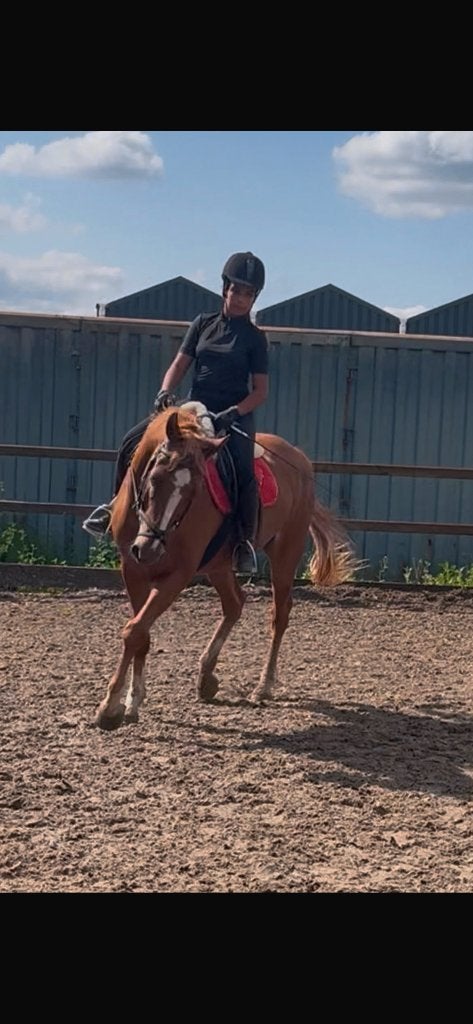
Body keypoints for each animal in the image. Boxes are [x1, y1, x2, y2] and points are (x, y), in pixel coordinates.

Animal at [95, 405, 356, 729]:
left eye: (194, 489)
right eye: (154, 476)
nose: (149, 548)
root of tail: (299, 459)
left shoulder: (178, 575)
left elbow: (134, 630)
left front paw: (109, 708)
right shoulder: (132, 568)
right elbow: (140, 633)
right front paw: (131, 701)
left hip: (285, 553)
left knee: (279, 615)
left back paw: (263, 686)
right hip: (218, 565)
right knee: (235, 603)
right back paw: (207, 676)